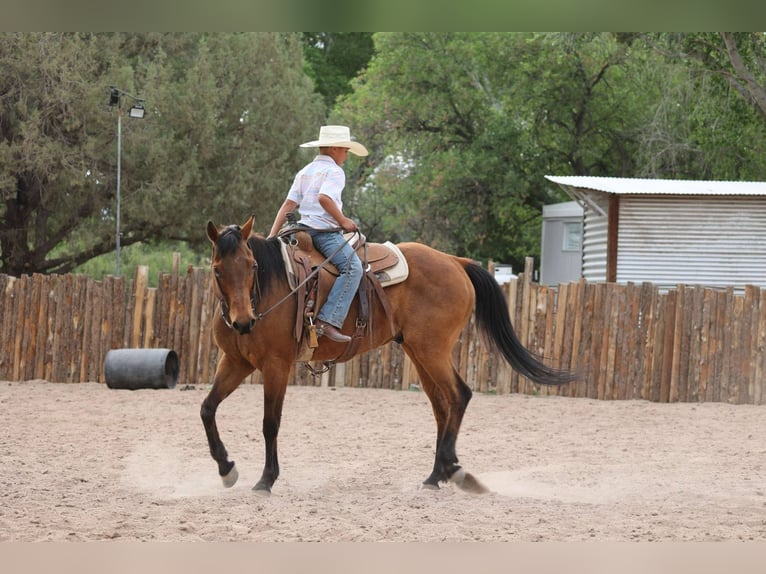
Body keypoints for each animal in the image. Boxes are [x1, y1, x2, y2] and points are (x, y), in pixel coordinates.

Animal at [201, 215, 574, 494]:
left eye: (252, 266)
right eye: (218, 270)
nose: (244, 321)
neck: (271, 289)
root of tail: (455, 262)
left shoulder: (276, 365)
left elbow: (270, 423)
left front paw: (266, 480)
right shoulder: (235, 362)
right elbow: (208, 409)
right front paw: (226, 469)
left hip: (433, 350)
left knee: (459, 395)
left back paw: (452, 469)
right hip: (418, 352)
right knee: (442, 406)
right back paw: (435, 476)